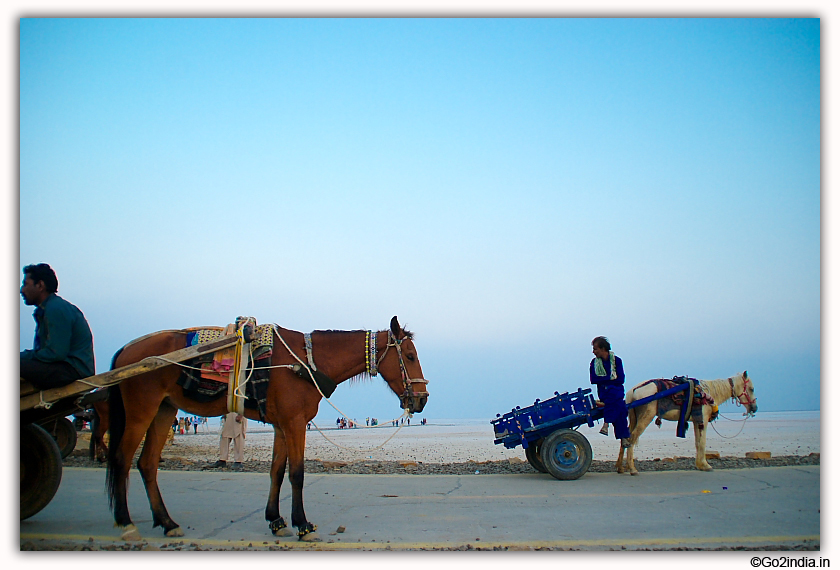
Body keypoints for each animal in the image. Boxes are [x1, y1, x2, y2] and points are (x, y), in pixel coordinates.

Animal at [105, 316, 428, 542]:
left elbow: (276, 471)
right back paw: (126, 523)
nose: (422, 399)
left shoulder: (282, 425)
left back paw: (167, 523)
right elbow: (296, 473)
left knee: (147, 464)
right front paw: (303, 525)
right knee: (122, 460)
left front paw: (276, 521)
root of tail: (126, 350)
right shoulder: (295, 423)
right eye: (410, 356)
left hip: (164, 409)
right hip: (141, 410)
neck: (307, 362)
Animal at [616, 371, 757, 475]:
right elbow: (702, 442)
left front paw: (700, 465)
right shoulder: (702, 419)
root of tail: (633, 391)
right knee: (632, 437)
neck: (708, 393)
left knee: (625, 438)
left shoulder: (696, 420)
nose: (754, 408)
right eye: (751, 388)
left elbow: (698, 442)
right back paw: (632, 469)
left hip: (634, 417)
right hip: (646, 416)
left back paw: (621, 468)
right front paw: (706, 465)